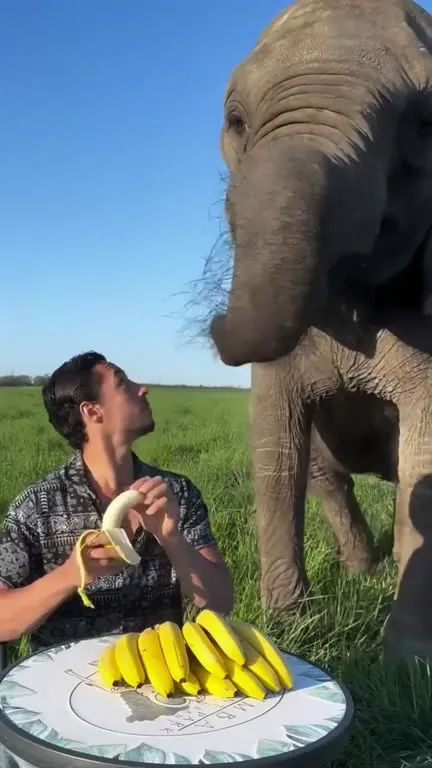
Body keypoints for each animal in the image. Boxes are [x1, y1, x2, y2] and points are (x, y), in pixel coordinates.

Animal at [206, 0, 432, 661]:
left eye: (424, 126)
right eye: (234, 121)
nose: (215, 322)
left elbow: (423, 459)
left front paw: (407, 664)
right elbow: (277, 450)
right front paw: (282, 632)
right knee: (326, 476)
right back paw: (364, 573)